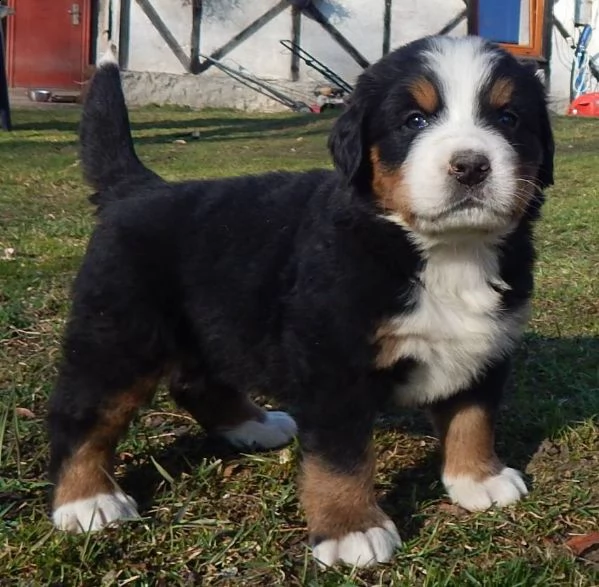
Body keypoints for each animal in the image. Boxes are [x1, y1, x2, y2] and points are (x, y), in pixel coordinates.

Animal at [47, 34, 552, 568]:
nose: (471, 165)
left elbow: (473, 417)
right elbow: (341, 458)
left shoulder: (484, 347)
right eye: (414, 120)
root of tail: (136, 188)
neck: (444, 250)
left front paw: (479, 479)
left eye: (508, 118)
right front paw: (351, 529)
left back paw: (253, 424)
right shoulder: (333, 364)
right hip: (119, 334)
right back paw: (87, 500)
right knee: (81, 414)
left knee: (194, 383)